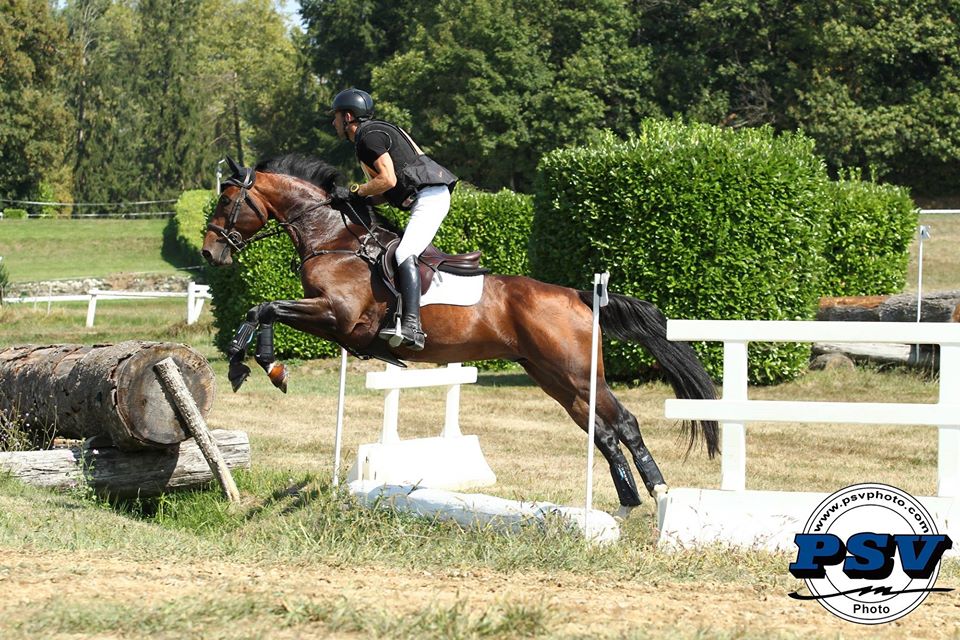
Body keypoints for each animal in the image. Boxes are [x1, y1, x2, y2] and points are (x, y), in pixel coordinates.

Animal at [201, 156, 712, 520]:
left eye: (226, 203)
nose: (209, 253)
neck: (336, 240)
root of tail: (578, 295)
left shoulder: (339, 317)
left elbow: (265, 307)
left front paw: (257, 364)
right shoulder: (332, 320)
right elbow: (262, 309)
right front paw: (253, 364)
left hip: (578, 373)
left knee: (623, 423)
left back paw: (659, 495)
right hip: (553, 378)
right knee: (602, 431)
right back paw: (627, 504)